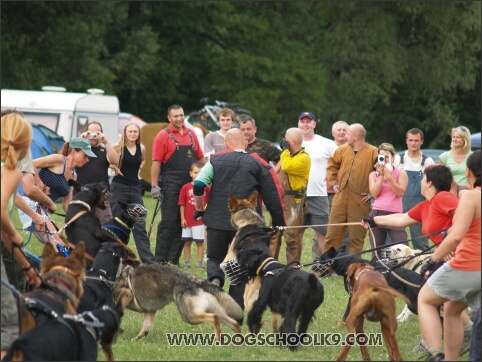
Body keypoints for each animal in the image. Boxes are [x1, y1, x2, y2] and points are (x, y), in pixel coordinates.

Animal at [112, 262, 241, 340]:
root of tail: (197, 281)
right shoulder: (150, 310)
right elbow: (145, 328)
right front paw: (137, 338)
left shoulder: (126, 294)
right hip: (215, 310)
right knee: (233, 323)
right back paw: (238, 342)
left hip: (189, 316)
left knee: (214, 318)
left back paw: (218, 341)